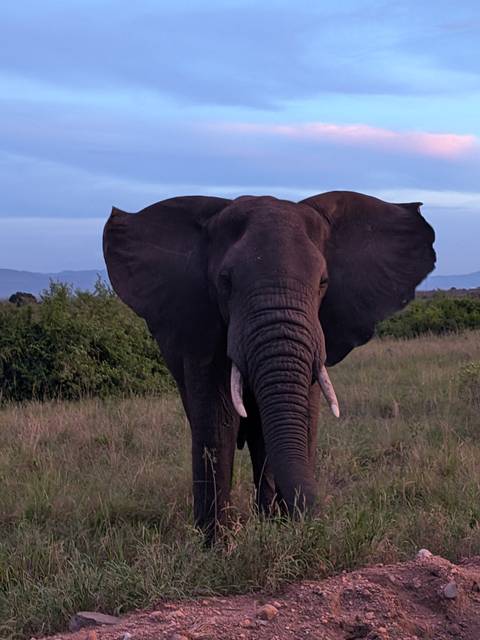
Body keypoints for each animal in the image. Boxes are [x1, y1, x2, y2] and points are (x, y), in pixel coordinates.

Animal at [103, 191, 435, 541]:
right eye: (225, 282)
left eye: (323, 282)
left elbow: (302, 415)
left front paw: (283, 530)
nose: (315, 525)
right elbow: (217, 418)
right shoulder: (201, 321)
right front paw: (216, 544)